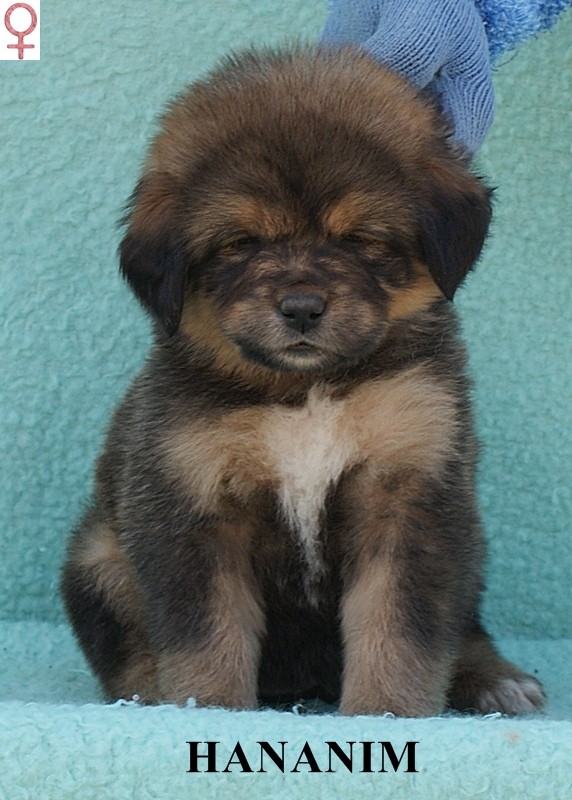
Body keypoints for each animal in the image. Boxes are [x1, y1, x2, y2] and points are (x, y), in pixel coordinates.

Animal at [61, 46, 545, 716]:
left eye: (359, 239)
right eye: (240, 243)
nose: (300, 308)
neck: (304, 394)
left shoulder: (411, 494)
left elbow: (401, 627)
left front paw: (384, 711)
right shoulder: (191, 510)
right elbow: (206, 638)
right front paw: (209, 710)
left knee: (464, 626)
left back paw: (497, 678)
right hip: (100, 557)